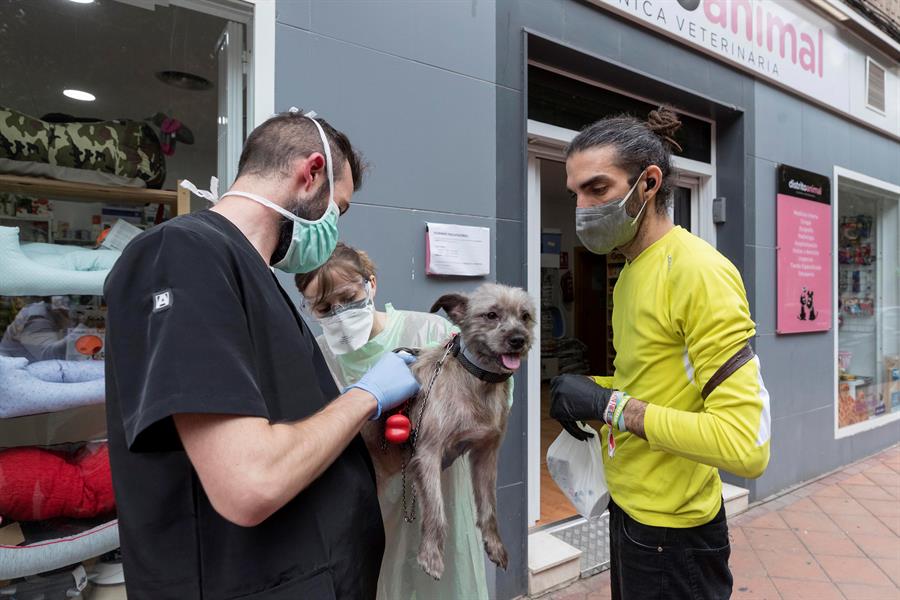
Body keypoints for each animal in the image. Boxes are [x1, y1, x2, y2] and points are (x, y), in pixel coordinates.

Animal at [362, 284, 536, 580]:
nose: (518, 340)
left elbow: (489, 508)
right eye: (491, 315)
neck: (476, 381)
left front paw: (495, 546)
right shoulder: (427, 454)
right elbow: (436, 511)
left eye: (525, 316)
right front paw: (430, 555)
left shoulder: (485, 455)